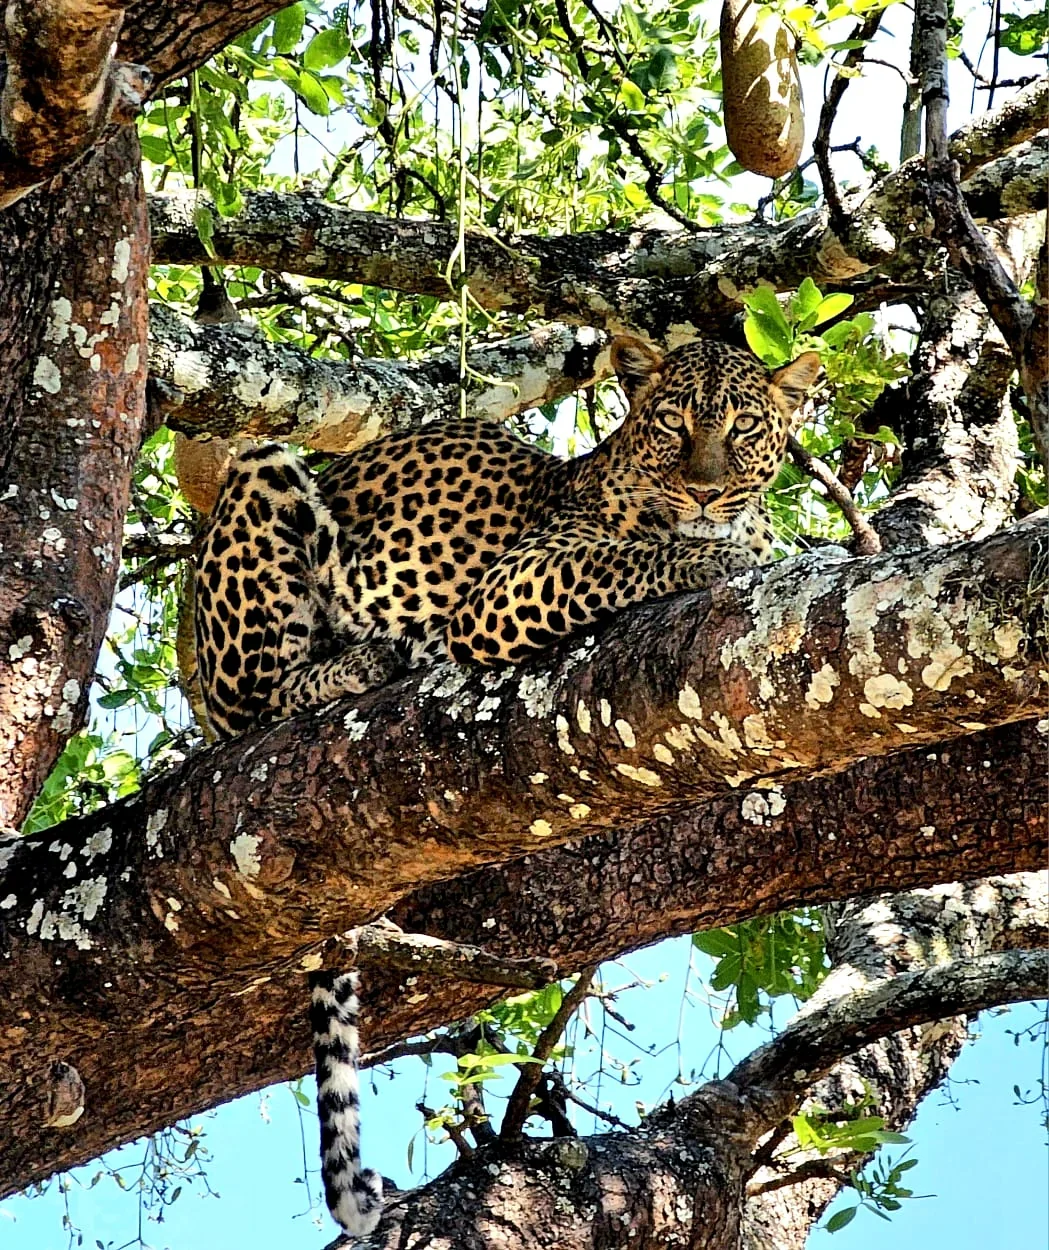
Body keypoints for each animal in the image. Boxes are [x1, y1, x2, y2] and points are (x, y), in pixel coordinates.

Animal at [192, 333, 820, 1237]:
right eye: (674, 423)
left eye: (741, 428)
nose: (704, 491)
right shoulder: (507, 588)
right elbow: (624, 558)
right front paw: (712, 551)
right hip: (261, 480)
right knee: (265, 698)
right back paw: (376, 657)